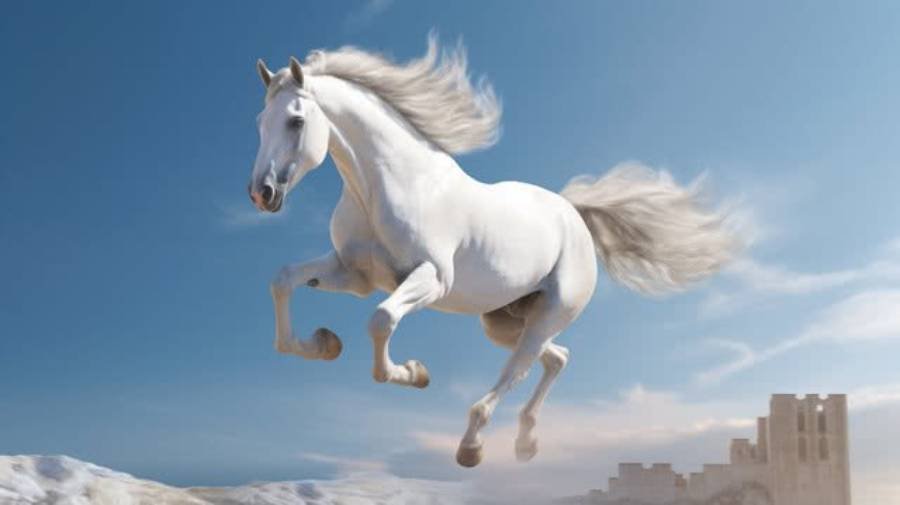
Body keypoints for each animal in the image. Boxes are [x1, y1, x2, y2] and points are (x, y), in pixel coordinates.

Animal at [247, 36, 736, 468]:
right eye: (259, 121)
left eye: (295, 120)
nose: (262, 193)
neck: (389, 184)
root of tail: (573, 215)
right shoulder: (354, 274)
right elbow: (283, 279)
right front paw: (322, 344)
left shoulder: (430, 279)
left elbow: (381, 321)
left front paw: (414, 373)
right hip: (504, 322)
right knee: (556, 358)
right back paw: (526, 442)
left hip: (547, 315)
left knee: (515, 373)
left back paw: (473, 446)